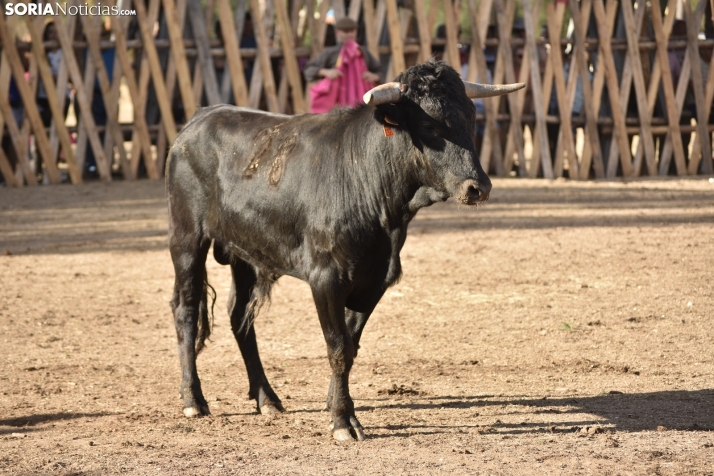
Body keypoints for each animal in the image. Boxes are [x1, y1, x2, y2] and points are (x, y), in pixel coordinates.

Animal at [168, 61, 524, 440]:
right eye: (430, 125)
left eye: (470, 118)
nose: (478, 187)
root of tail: (200, 118)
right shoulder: (326, 279)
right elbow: (337, 346)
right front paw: (342, 420)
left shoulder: (374, 280)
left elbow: (351, 344)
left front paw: (334, 404)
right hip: (186, 238)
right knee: (186, 311)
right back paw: (193, 400)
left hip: (246, 253)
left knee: (240, 317)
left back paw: (267, 399)